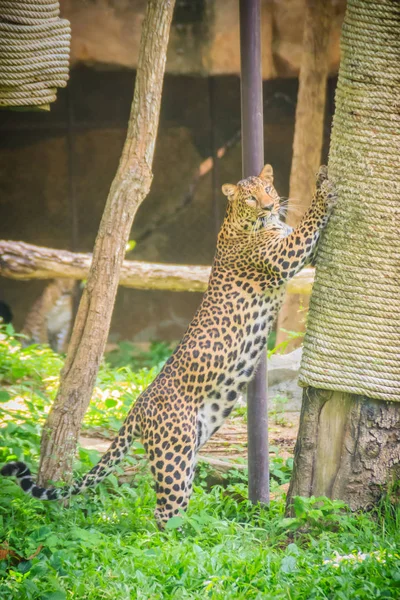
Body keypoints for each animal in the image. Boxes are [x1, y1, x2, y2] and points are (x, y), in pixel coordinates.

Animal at [1, 162, 336, 528]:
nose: (269, 205)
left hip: (189, 448)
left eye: (268, 190)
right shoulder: (284, 254)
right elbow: (308, 225)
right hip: (173, 455)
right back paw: (192, 537)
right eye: (250, 198)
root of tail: (137, 406)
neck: (244, 220)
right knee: (165, 513)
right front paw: (325, 189)